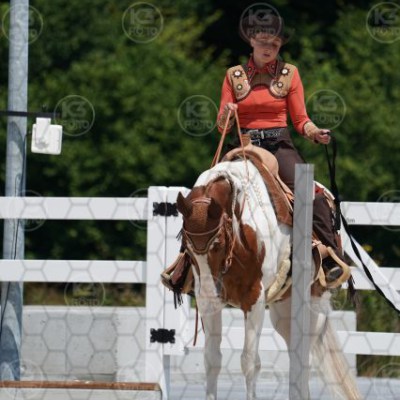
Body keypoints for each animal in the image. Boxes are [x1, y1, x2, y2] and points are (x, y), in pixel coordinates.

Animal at [176, 158, 361, 400]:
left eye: (217, 245)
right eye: (187, 247)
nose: (210, 293)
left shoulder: (254, 300)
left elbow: (249, 362)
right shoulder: (209, 304)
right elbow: (212, 361)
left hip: (313, 309)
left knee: (303, 360)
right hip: (283, 313)